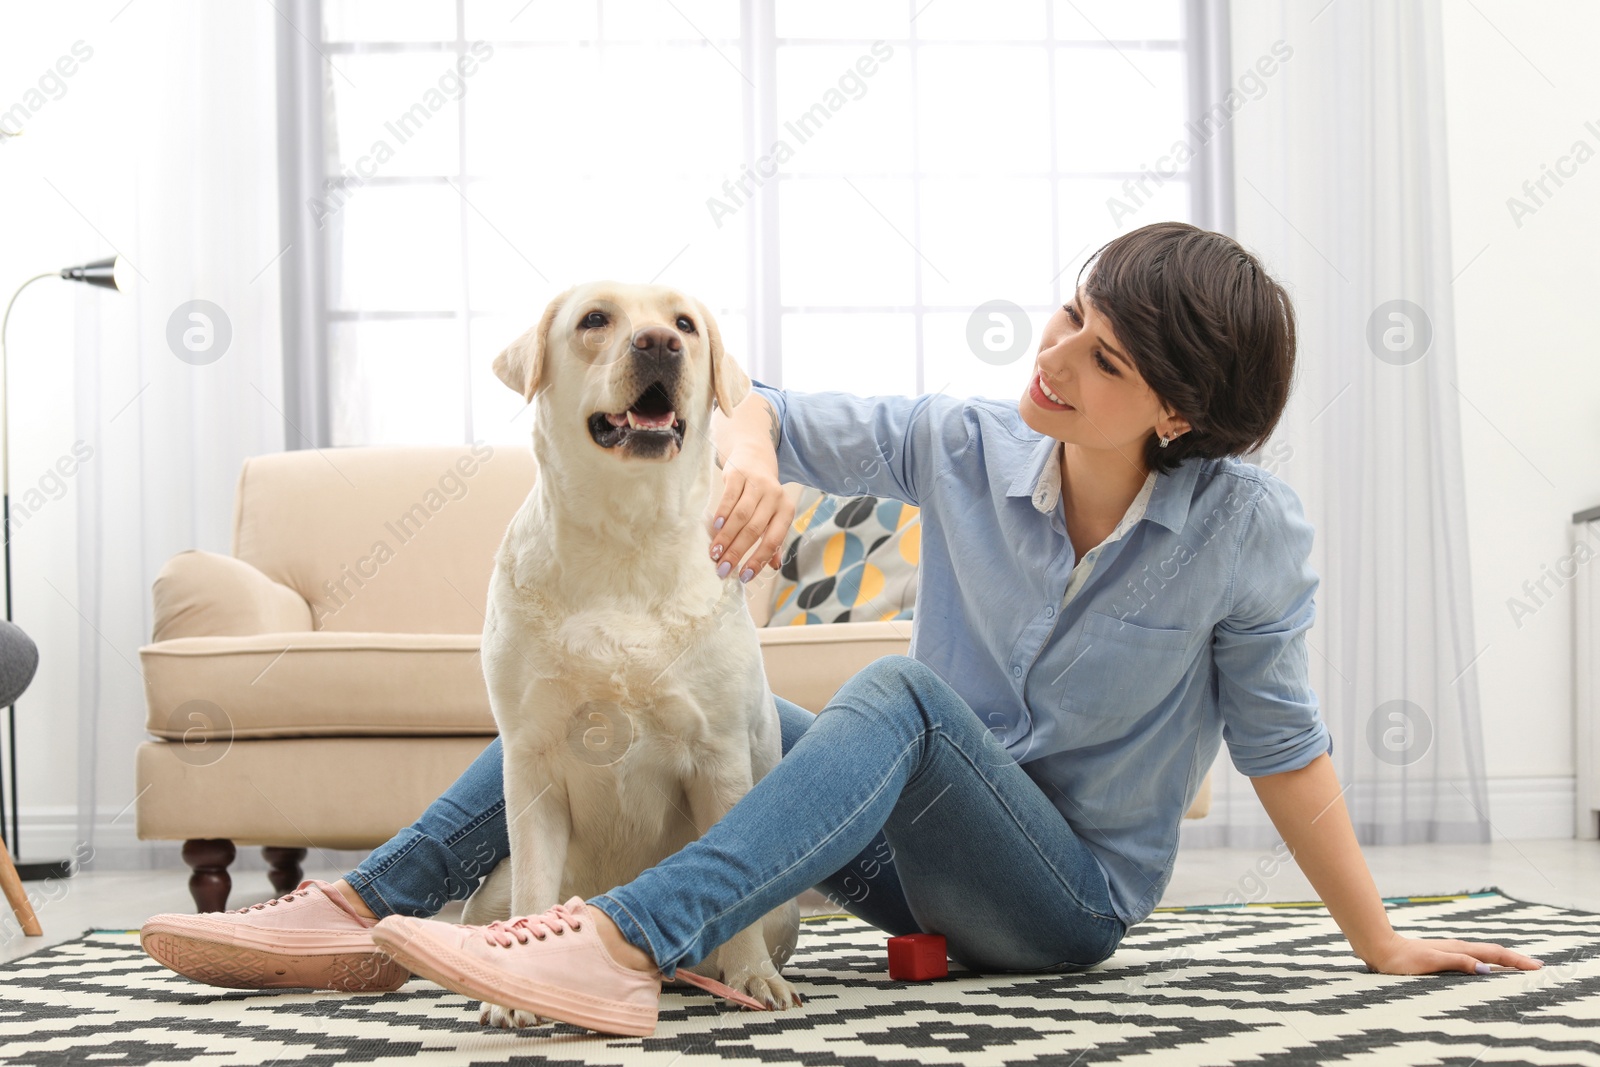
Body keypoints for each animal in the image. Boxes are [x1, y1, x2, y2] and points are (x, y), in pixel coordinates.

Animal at [464, 281, 800, 1023]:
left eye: (685, 325)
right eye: (595, 319)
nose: (659, 344)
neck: (626, 536)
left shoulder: (719, 755)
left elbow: (733, 884)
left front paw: (753, 977)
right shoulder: (530, 759)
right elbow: (535, 879)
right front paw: (514, 986)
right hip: (488, 889)